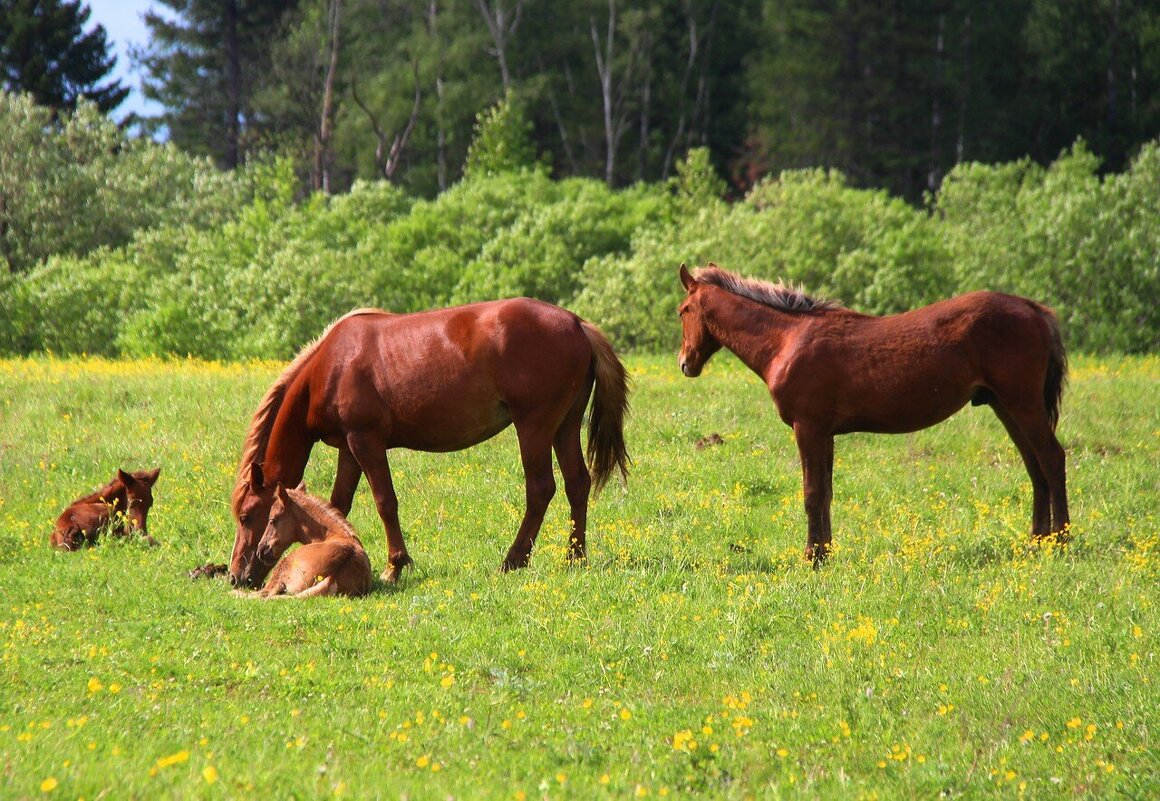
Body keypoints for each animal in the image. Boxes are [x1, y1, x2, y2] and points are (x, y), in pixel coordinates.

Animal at [229, 301, 631, 588]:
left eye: (248, 515)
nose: (237, 576)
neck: (332, 365)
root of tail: (577, 324)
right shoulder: (348, 449)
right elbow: (337, 504)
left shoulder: (365, 442)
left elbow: (385, 502)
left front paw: (395, 566)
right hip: (564, 427)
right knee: (577, 483)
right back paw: (575, 556)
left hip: (534, 427)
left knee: (541, 489)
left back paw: (514, 559)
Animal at [677, 264, 1067, 563]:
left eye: (683, 310)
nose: (684, 363)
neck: (788, 340)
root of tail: (1034, 309)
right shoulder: (825, 433)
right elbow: (826, 492)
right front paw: (826, 553)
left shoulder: (808, 428)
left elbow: (812, 492)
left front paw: (812, 557)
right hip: (1005, 406)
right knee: (1034, 465)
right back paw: (1037, 541)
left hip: (1021, 403)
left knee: (1051, 458)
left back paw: (1061, 541)